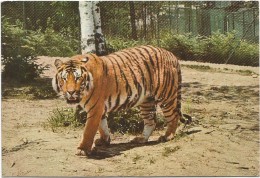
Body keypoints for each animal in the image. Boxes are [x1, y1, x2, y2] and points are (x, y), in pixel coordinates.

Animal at [52, 45, 191, 156]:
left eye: (77, 78)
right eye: (64, 78)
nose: (70, 92)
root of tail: (171, 54)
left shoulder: (95, 108)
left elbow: (89, 130)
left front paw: (82, 149)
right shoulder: (100, 109)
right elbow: (102, 126)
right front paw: (104, 141)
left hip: (166, 96)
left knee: (173, 117)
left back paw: (167, 136)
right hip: (146, 101)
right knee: (151, 122)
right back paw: (141, 139)